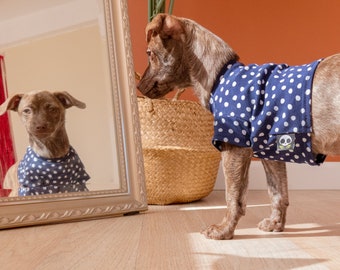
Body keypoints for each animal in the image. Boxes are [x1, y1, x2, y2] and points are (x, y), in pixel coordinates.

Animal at [137, 13, 340, 239]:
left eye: (149, 53)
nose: (137, 86)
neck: (220, 76)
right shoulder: (271, 152)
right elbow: (278, 192)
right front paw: (276, 224)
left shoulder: (233, 147)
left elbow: (233, 197)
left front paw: (224, 230)